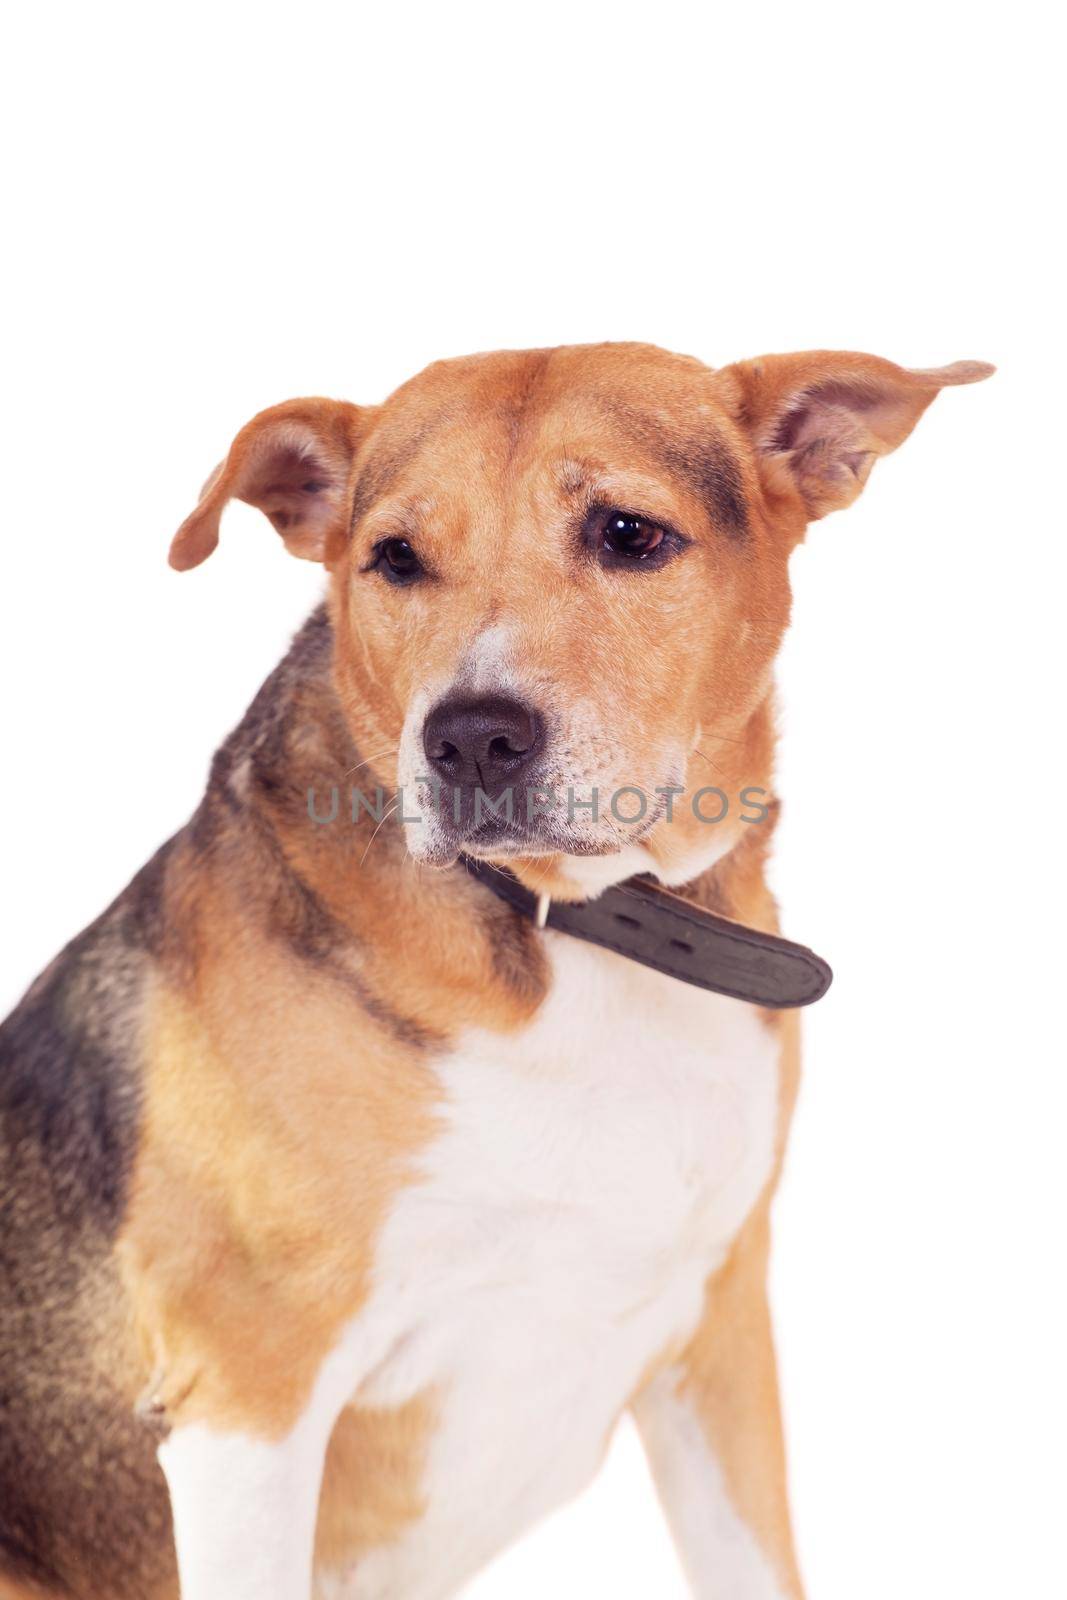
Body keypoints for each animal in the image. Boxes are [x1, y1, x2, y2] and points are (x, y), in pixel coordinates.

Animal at [0, 340, 991, 1600]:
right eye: (394, 559)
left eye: (627, 533)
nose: (469, 738)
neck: (584, 931)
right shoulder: (249, 1402)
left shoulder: (718, 1337)